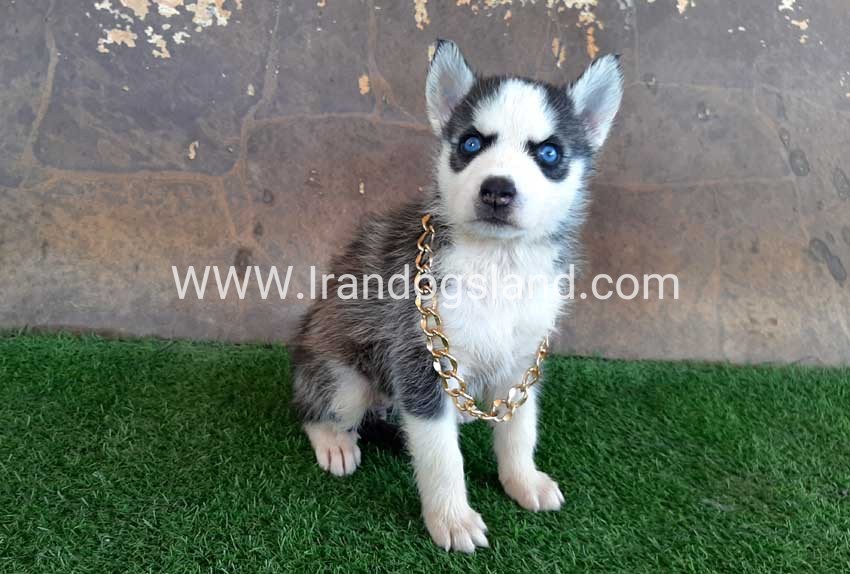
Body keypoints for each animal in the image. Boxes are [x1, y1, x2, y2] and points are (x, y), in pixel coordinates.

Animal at [292, 39, 623, 552]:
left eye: (549, 152)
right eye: (471, 144)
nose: (497, 190)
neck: (498, 264)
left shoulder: (523, 360)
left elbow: (520, 428)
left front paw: (522, 480)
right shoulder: (418, 358)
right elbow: (441, 454)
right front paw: (451, 518)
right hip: (344, 377)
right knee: (314, 405)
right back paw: (333, 439)